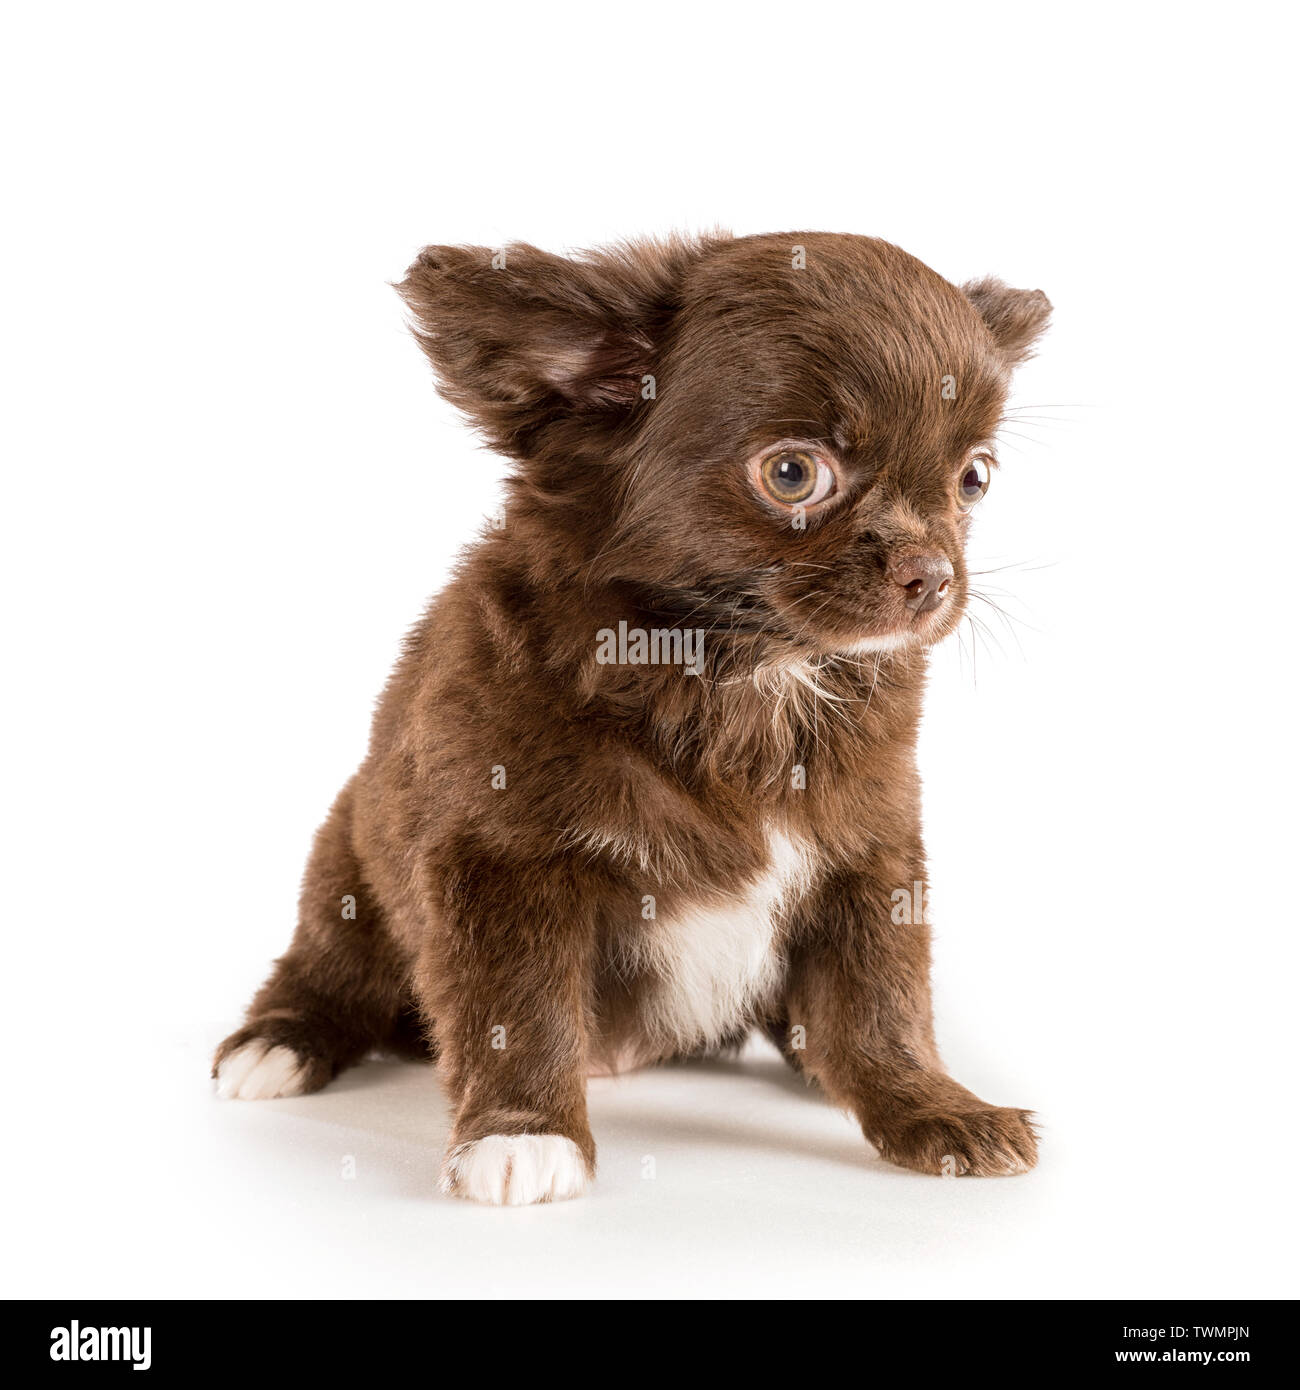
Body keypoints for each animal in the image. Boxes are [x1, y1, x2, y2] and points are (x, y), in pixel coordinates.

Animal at [211, 230, 1045, 1206]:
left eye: (975, 478)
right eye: (793, 473)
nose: (933, 575)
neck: (743, 678)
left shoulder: (868, 856)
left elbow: (884, 1003)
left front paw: (931, 1108)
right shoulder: (499, 858)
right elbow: (519, 1005)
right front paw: (524, 1131)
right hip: (344, 860)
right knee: (325, 963)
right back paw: (279, 1040)